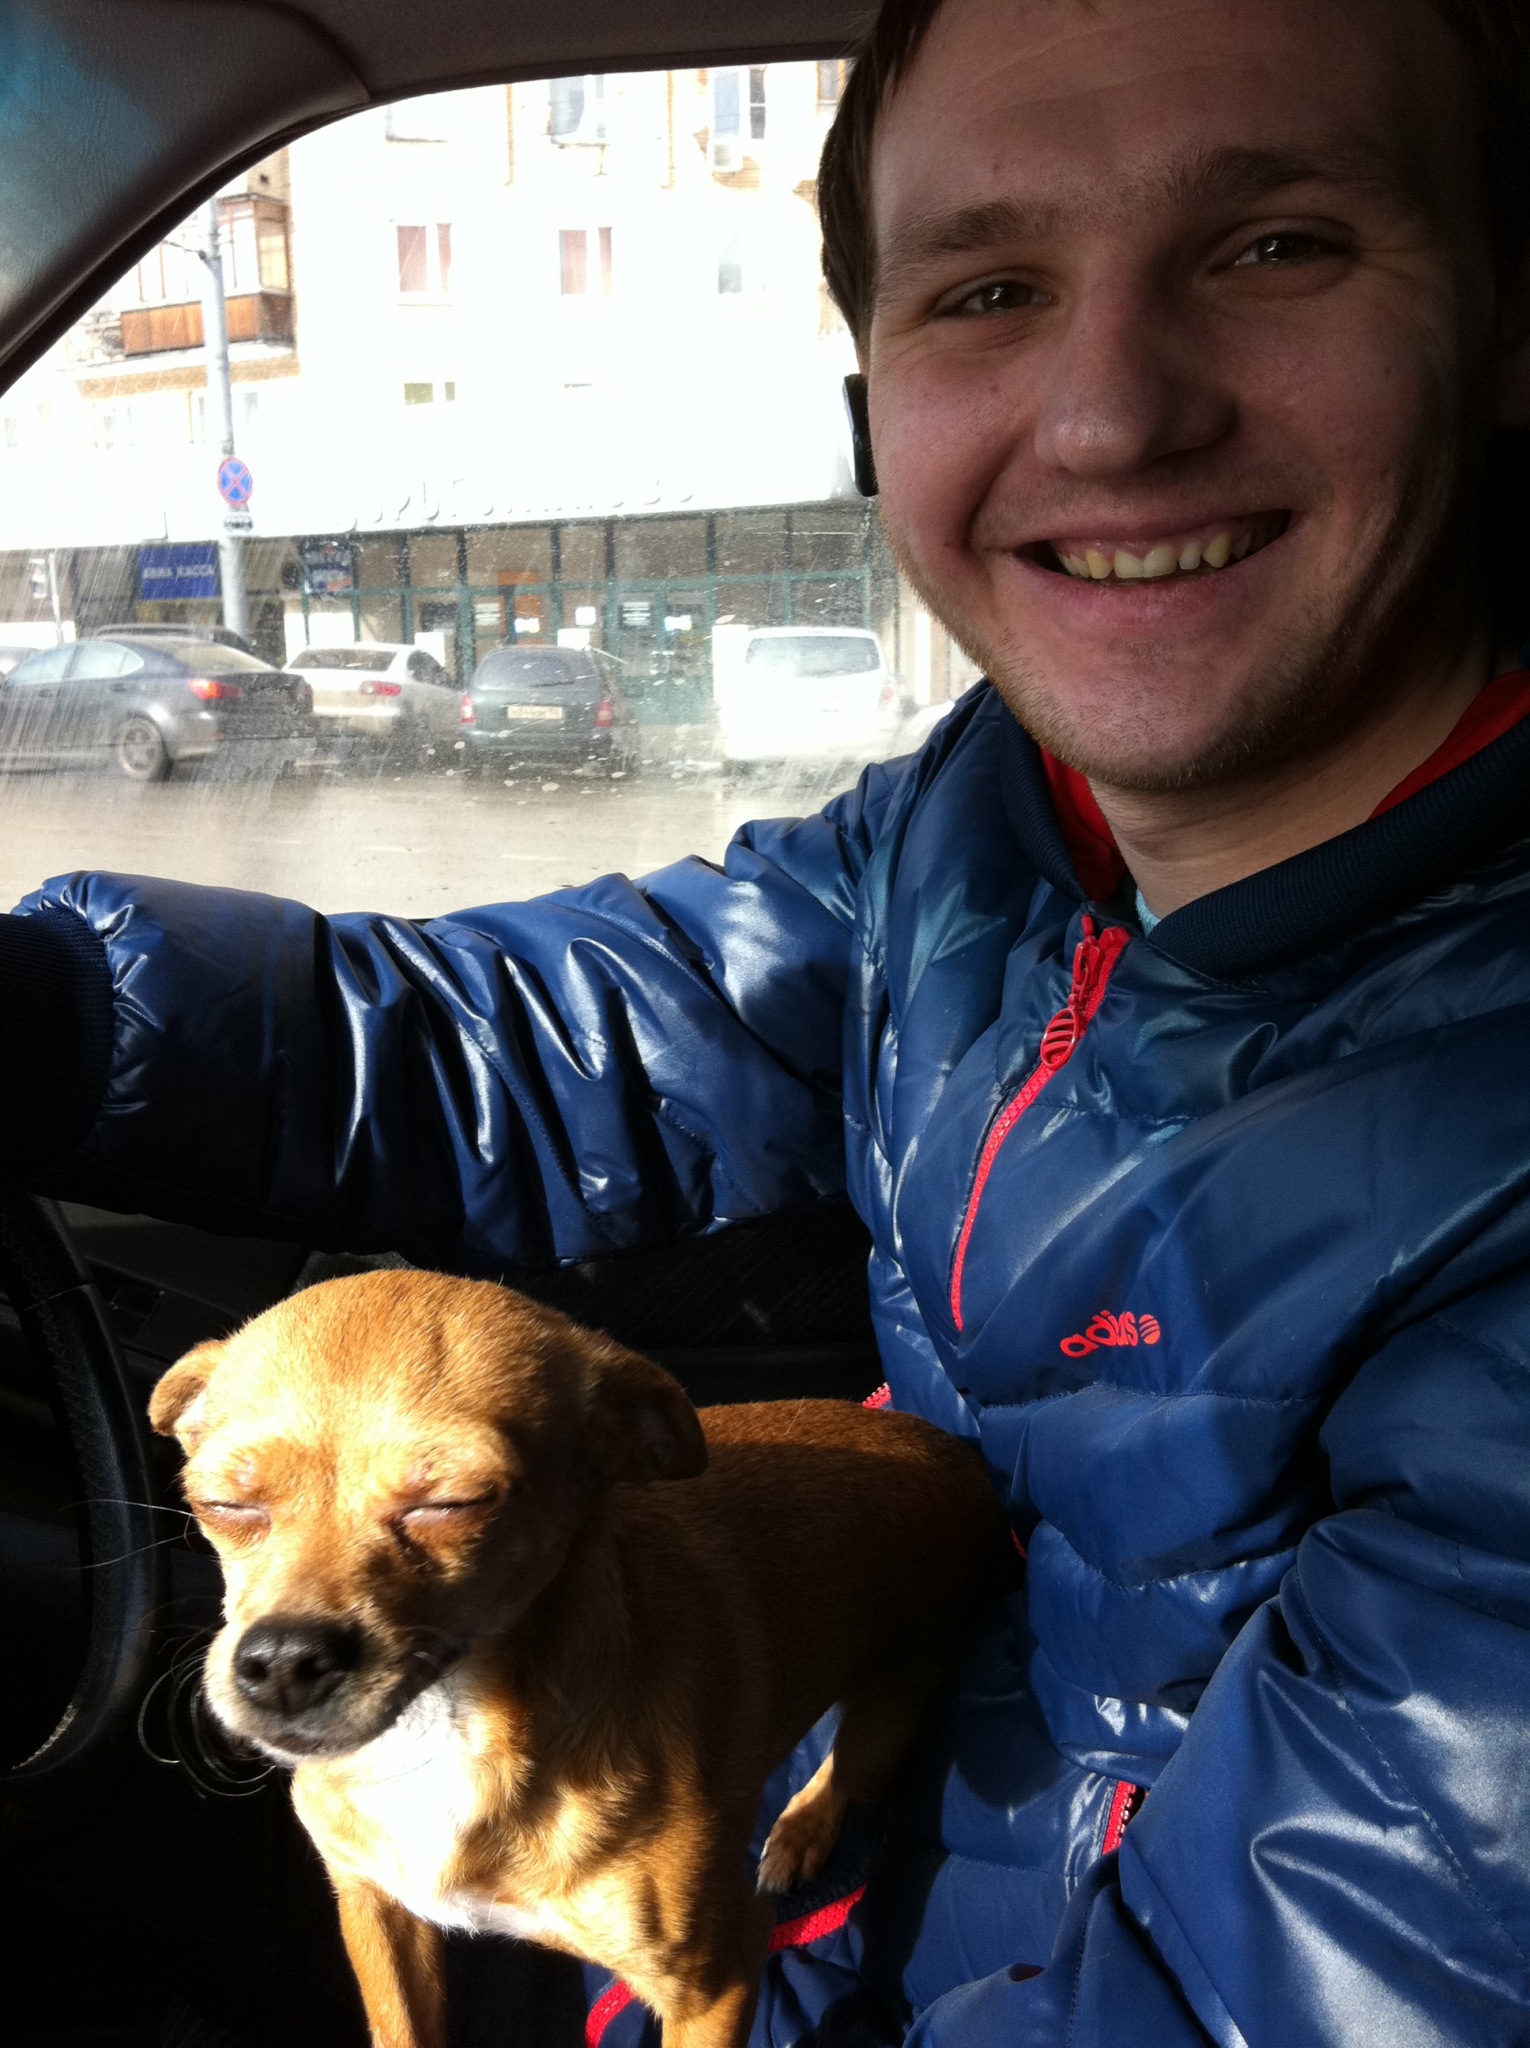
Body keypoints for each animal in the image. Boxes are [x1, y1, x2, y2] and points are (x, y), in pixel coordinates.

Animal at [149, 1270, 1012, 2048]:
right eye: (220, 1504)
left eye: (452, 1505)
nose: (282, 1658)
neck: (451, 1725)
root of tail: (954, 1449)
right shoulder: (377, 1906)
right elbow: (402, 2026)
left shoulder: (719, 1979)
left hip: (891, 1717)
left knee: (848, 1772)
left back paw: (801, 1830)